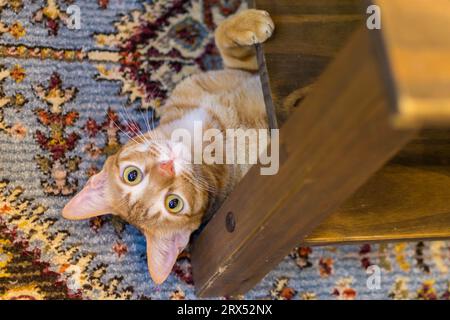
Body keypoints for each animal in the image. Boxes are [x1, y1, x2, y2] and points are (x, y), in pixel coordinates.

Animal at [62, 9, 274, 284]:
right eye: (173, 203)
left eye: (131, 175)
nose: (167, 167)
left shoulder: (243, 71)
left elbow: (221, 37)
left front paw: (245, 23)